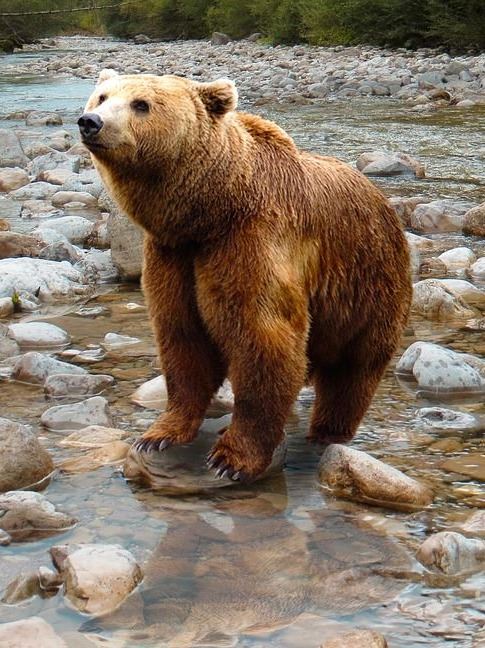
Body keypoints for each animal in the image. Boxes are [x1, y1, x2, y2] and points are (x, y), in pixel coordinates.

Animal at [78, 70, 412, 482]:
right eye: (102, 96)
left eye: (141, 104)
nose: (91, 122)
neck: (211, 211)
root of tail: (384, 201)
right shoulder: (174, 255)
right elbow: (182, 338)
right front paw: (158, 435)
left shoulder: (250, 241)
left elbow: (262, 339)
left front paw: (231, 458)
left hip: (367, 283)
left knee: (353, 371)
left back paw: (327, 431)